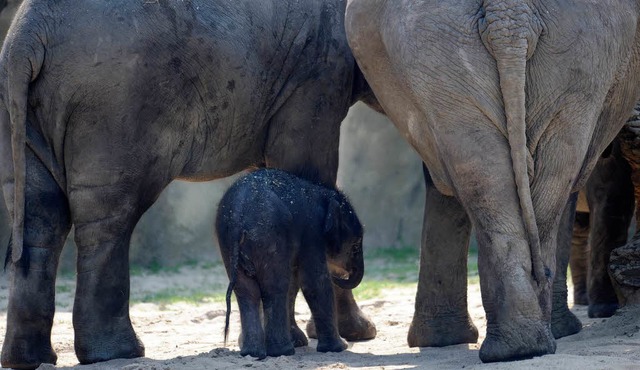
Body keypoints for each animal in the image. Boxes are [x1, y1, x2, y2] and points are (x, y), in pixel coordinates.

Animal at [216, 168, 362, 358]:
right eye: (355, 246)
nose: (341, 275)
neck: (324, 195)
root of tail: (237, 224)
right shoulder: (312, 233)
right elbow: (315, 282)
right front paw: (339, 347)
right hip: (269, 238)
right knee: (275, 287)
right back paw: (282, 352)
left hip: (228, 243)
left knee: (247, 291)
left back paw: (253, 353)